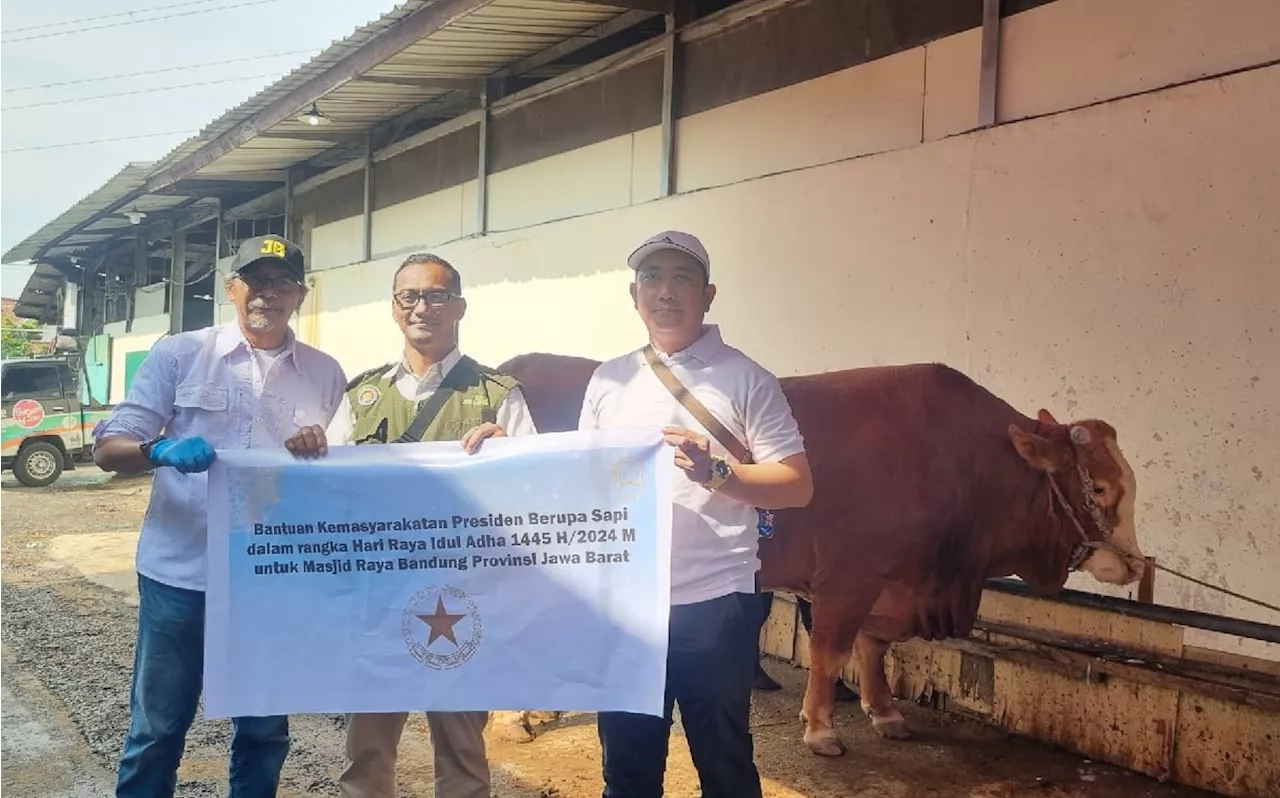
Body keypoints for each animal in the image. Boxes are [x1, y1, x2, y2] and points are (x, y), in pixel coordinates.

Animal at [494, 353, 1146, 753]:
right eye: (1100, 489)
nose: (1134, 564)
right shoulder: (849, 578)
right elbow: (832, 651)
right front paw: (820, 729)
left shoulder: (892, 583)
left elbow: (874, 648)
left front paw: (885, 713)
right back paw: (520, 714)